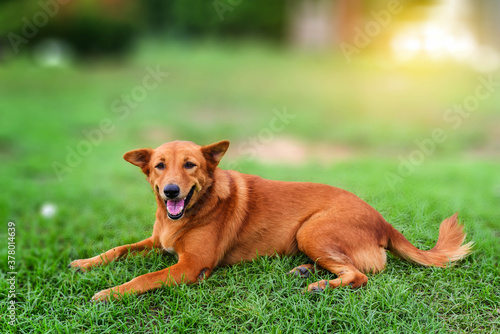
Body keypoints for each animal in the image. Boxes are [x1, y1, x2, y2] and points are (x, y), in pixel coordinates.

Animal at [69, 140, 472, 302]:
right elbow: (120, 249)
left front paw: (110, 292)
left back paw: (319, 285)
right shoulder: (156, 242)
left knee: (359, 275)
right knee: (349, 266)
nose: (170, 191)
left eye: (190, 165)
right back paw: (305, 271)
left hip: (311, 229)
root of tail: (382, 220)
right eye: (159, 165)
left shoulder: (192, 266)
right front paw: (85, 263)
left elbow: (144, 278)